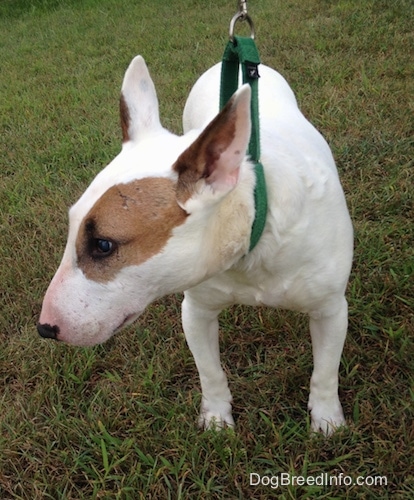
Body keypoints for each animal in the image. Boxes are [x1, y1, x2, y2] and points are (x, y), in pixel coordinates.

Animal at [37, 54, 352, 436]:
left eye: (103, 244)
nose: (45, 328)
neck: (251, 237)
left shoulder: (331, 309)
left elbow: (325, 371)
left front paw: (327, 420)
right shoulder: (197, 310)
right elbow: (209, 371)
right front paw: (217, 419)